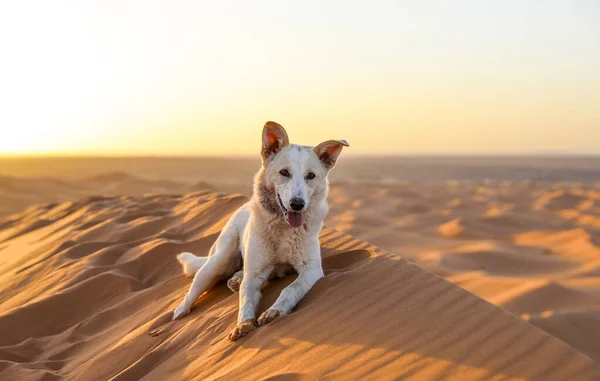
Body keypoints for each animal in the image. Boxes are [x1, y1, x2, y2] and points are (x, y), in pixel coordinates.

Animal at [171, 120, 350, 340]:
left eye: (311, 176)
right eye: (284, 172)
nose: (297, 204)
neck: (283, 230)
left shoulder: (311, 269)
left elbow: (291, 289)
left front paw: (275, 311)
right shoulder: (255, 274)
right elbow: (246, 298)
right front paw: (243, 324)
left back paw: (236, 280)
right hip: (219, 260)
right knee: (196, 286)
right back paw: (179, 312)